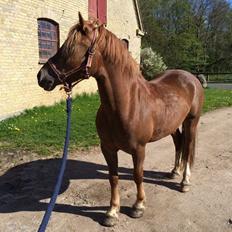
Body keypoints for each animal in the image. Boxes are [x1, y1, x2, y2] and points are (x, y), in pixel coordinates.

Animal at [37, 13, 204, 227]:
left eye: (71, 48)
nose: (42, 76)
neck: (126, 104)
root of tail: (191, 78)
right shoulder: (108, 148)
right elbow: (113, 177)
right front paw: (112, 212)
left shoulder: (139, 149)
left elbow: (137, 175)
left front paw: (138, 206)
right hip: (173, 125)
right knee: (179, 143)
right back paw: (174, 171)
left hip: (191, 121)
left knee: (189, 147)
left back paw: (184, 182)